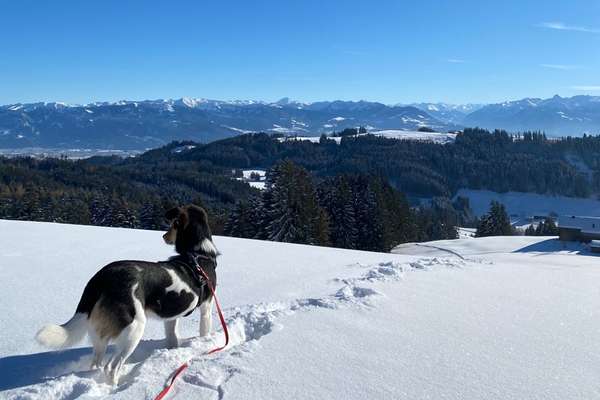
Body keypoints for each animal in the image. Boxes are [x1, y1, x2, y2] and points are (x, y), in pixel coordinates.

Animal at [35, 205, 219, 386]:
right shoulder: (207, 307)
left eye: (173, 225)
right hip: (134, 328)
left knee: (97, 363)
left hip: (100, 334)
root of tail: (102, 276)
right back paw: (117, 385)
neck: (199, 253)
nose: (164, 236)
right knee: (111, 366)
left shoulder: (171, 318)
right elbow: (204, 331)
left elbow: (172, 337)